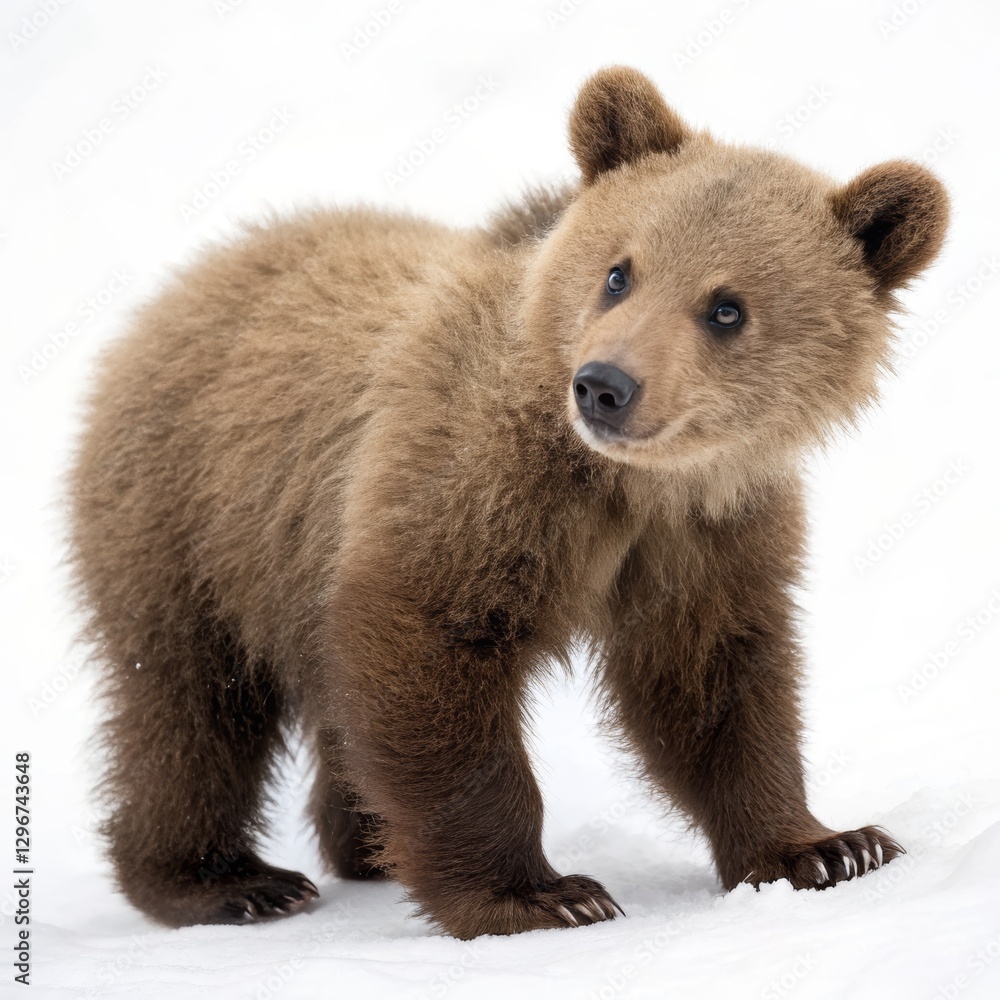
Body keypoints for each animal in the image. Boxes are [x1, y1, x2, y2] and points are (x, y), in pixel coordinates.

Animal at [67, 66, 949, 940]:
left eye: (726, 307)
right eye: (620, 272)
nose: (605, 385)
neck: (624, 482)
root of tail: (184, 284)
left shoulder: (711, 529)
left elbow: (711, 681)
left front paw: (828, 847)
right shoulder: (478, 479)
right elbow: (436, 642)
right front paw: (540, 894)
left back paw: (364, 845)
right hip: (191, 511)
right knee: (190, 705)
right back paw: (228, 880)